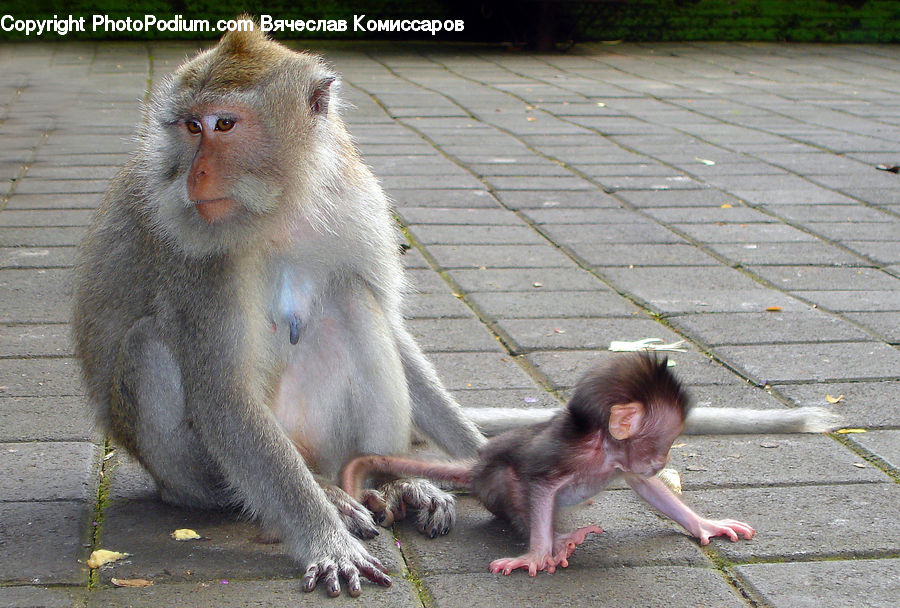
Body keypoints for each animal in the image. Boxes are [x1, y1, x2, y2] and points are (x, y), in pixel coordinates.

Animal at [74, 22, 486, 592]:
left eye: (224, 124)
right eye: (191, 126)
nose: (195, 176)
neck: (279, 209)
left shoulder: (355, 200)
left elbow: (390, 327)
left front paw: (485, 460)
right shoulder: (196, 260)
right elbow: (222, 393)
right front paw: (327, 540)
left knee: (351, 297)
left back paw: (386, 482)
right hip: (187, 470)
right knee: (149, 347)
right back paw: (313, 497)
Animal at [342, 352, 756, 576]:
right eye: (662, 443)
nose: (663, 460)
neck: (601, 448)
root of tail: (478, 466)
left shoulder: (623, 462)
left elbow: (645, 487)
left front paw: (704, 524)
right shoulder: (565, 457)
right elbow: (539, 484)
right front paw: (538, 553)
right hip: (494, 485)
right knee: (513, 484)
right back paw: (557, 539)